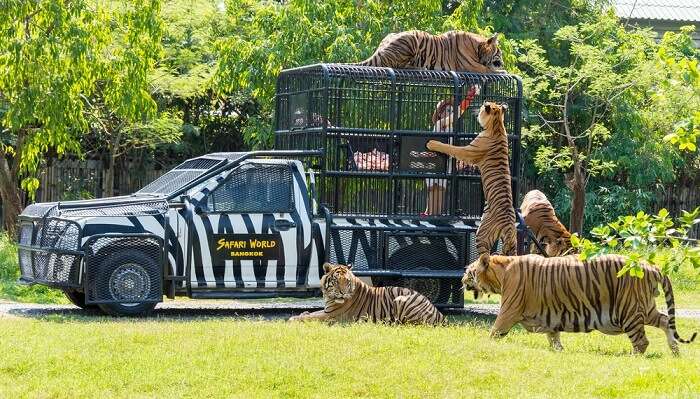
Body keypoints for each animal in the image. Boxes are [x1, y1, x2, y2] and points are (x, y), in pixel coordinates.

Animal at [288, 262, 442, 324]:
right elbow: (311, 313)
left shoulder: (331, 315)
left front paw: (293, 319)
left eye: (346, 281)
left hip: (400, 299)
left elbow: (311, 317)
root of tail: (439, 313)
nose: (342, 293)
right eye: (336, 281)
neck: (329, 296)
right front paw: (303, 313)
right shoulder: (327, 310)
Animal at [424, 101, 516, 256]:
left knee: (485, 254)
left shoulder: (467, 151)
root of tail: (509, 225)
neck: (497, 125)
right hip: (509, 241)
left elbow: (451, 148)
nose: (479, 107)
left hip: (482, 234)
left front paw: (433, 143)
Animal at [462, 255, 696, 354]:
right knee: (665, 320)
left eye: (468, 271)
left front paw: (484, 345)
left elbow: (494, 331)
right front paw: (559, 352)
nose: (462, 280)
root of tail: (651, 266)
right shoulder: (550, 317)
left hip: (629, 311)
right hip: (645, 308)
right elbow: (554, 337)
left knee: (642, 341)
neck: (501, 273)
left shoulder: (508, 311)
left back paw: (633, 358)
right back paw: (675, 352)